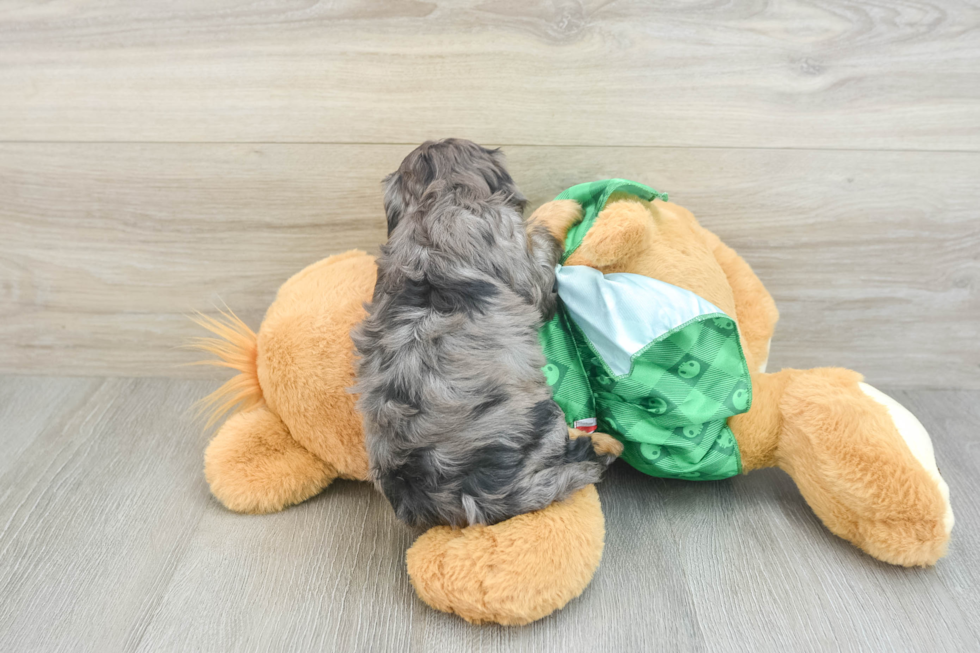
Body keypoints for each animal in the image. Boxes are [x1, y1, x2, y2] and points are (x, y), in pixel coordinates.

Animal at [352, 139, 620, 528]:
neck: (436, 198)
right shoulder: (521, 261)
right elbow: (538, 243)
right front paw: (561, 209)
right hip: (540, 419)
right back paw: (605, 443)